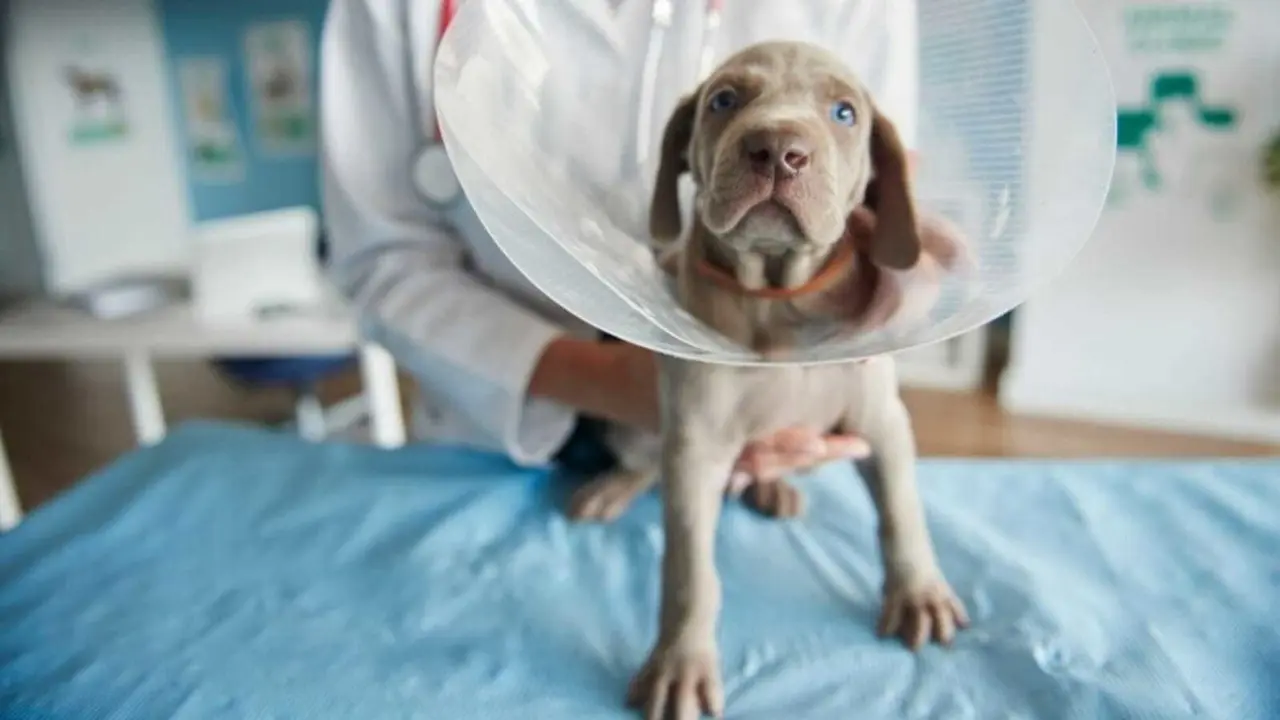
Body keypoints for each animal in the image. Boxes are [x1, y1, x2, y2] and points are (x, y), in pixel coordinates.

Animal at [599, 40, 967, 717]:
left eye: (844, 112)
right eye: (723, 100)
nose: (777, 149)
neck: (777, 294)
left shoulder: (882, 421)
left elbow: (903, 509)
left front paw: (919, 592)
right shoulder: (695, 447)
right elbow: (690, 570)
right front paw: (679, 663)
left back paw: (774, 488)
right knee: (642, 459)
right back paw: (614, 486)